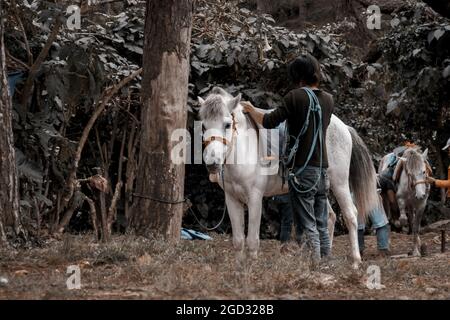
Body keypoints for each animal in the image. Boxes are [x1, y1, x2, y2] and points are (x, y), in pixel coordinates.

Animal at [199, 87, 378, 268]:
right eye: (203, 126)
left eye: (227, 125)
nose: (212, 163)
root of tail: (343, 127)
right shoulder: (232, 199)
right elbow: (238, 240)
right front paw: (239, 268)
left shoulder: (255, 198)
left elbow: (252, 240)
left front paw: (253, 267)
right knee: (330, 217)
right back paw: (325, 256)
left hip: (339, 183)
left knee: (350, 215)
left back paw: (355, 261)